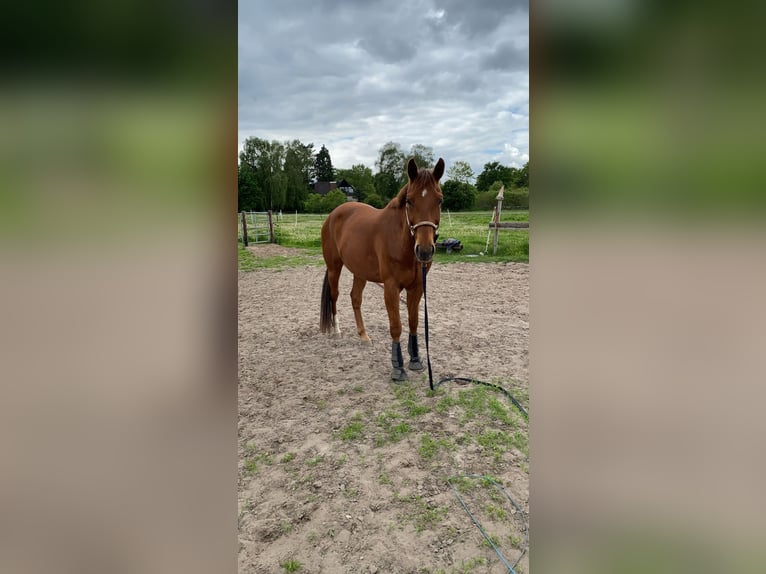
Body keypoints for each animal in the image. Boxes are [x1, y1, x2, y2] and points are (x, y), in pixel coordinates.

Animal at [320, 158, 448, 382]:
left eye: (439, 200)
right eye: (410, 201)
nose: (424, 250)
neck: (401, 241)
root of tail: (333, 215)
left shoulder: (416, 288)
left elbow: (413, 322)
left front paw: (415, 359)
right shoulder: (391, 288)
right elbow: (396, 326)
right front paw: (398, 368)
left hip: (360, 272)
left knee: (355, 298)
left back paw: (363, 335)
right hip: (334, 267)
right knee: (334, 296)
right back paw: (336, 330)